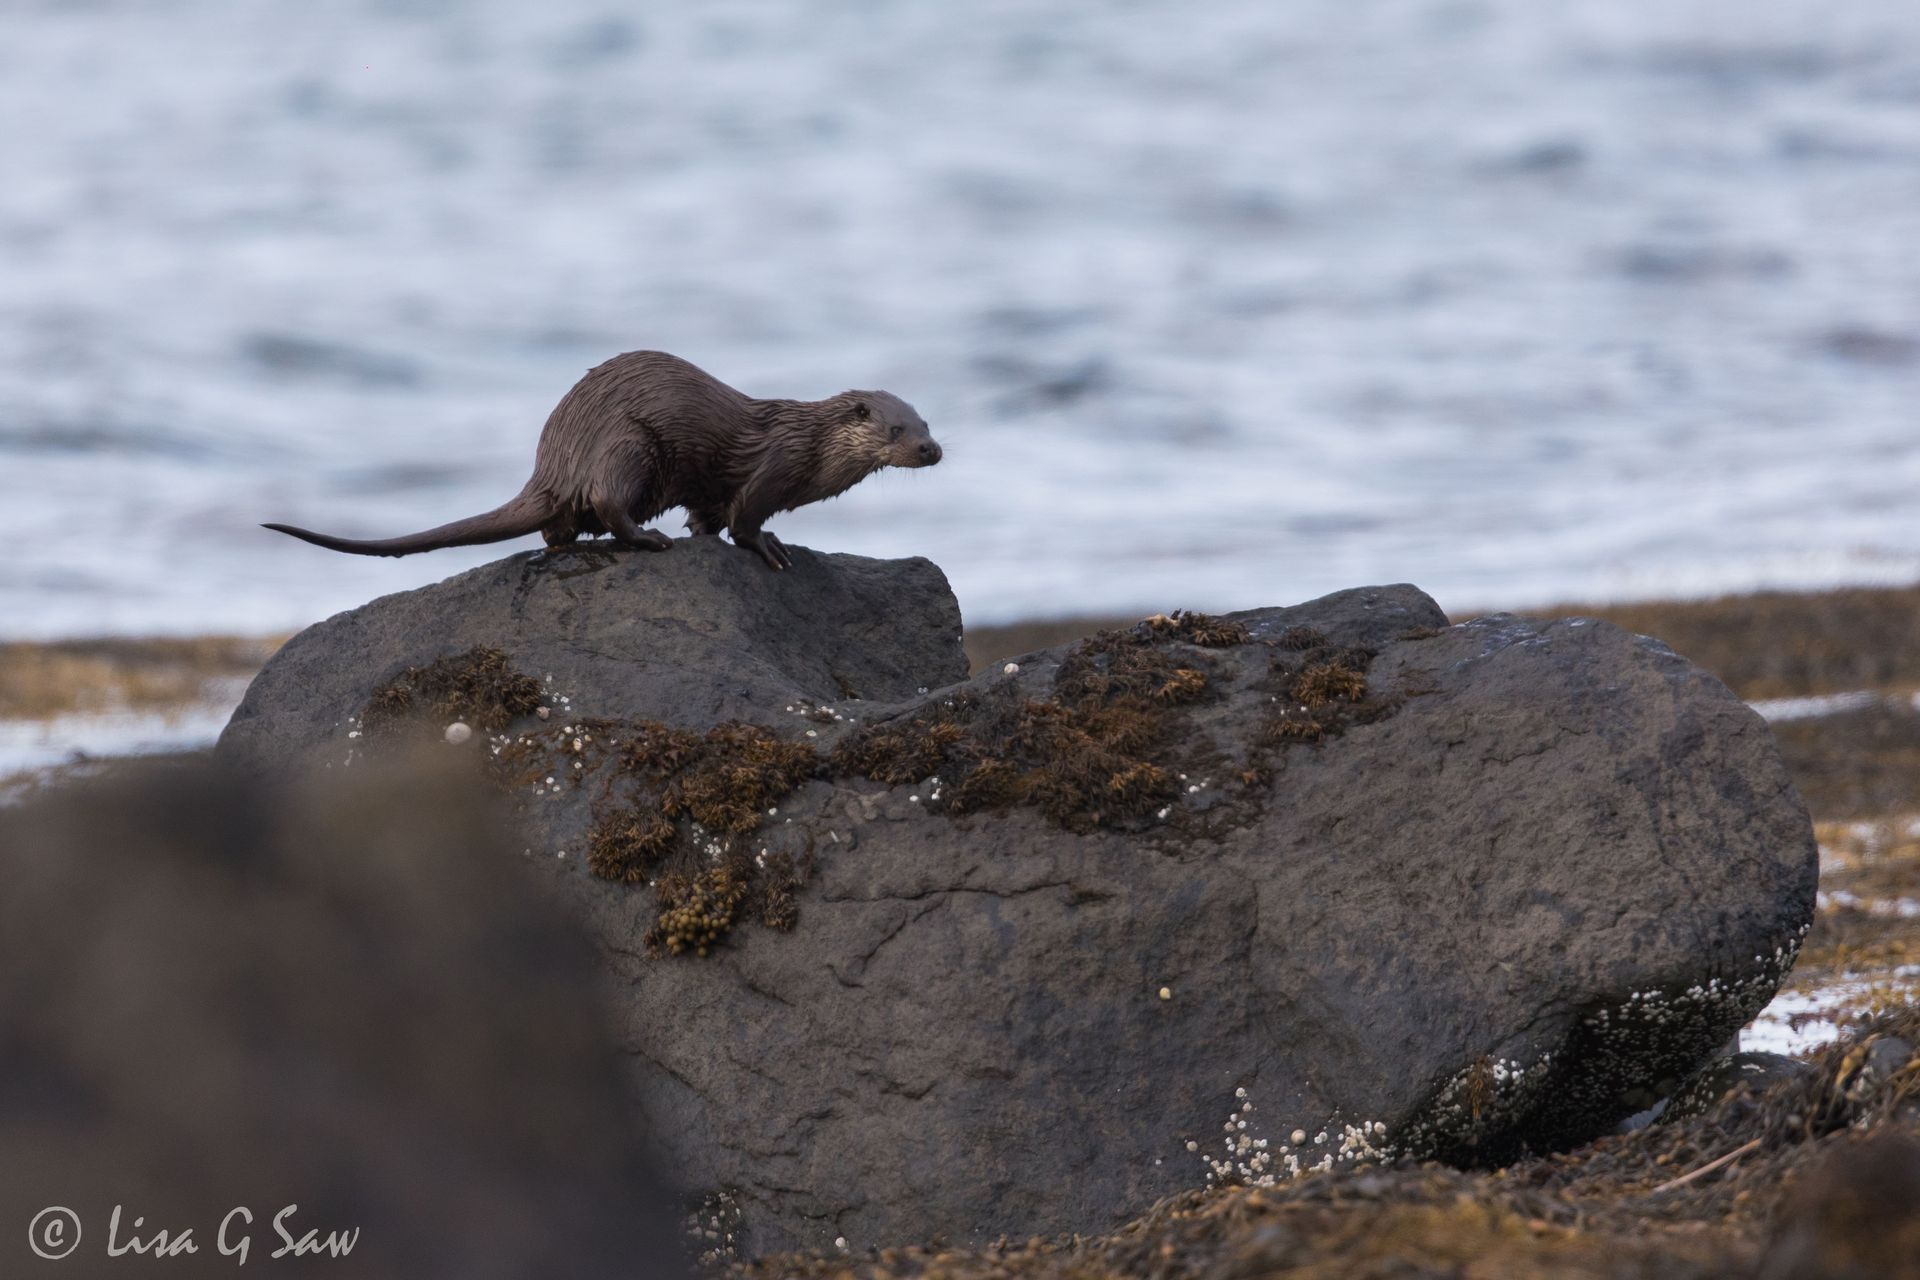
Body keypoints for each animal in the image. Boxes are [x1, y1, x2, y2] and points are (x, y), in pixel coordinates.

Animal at [264, 350, 941, 570]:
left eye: (929, 422)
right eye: (897, 428)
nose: (931, 450)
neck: (814, 451)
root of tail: (551, 464)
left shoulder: (713, 493)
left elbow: (708, 518)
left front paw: (704, 538)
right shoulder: (772, 468)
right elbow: (745, 518)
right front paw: (772, 548)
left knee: (557, 531)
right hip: (629, 445)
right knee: (607, 502)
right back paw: (647, 540)